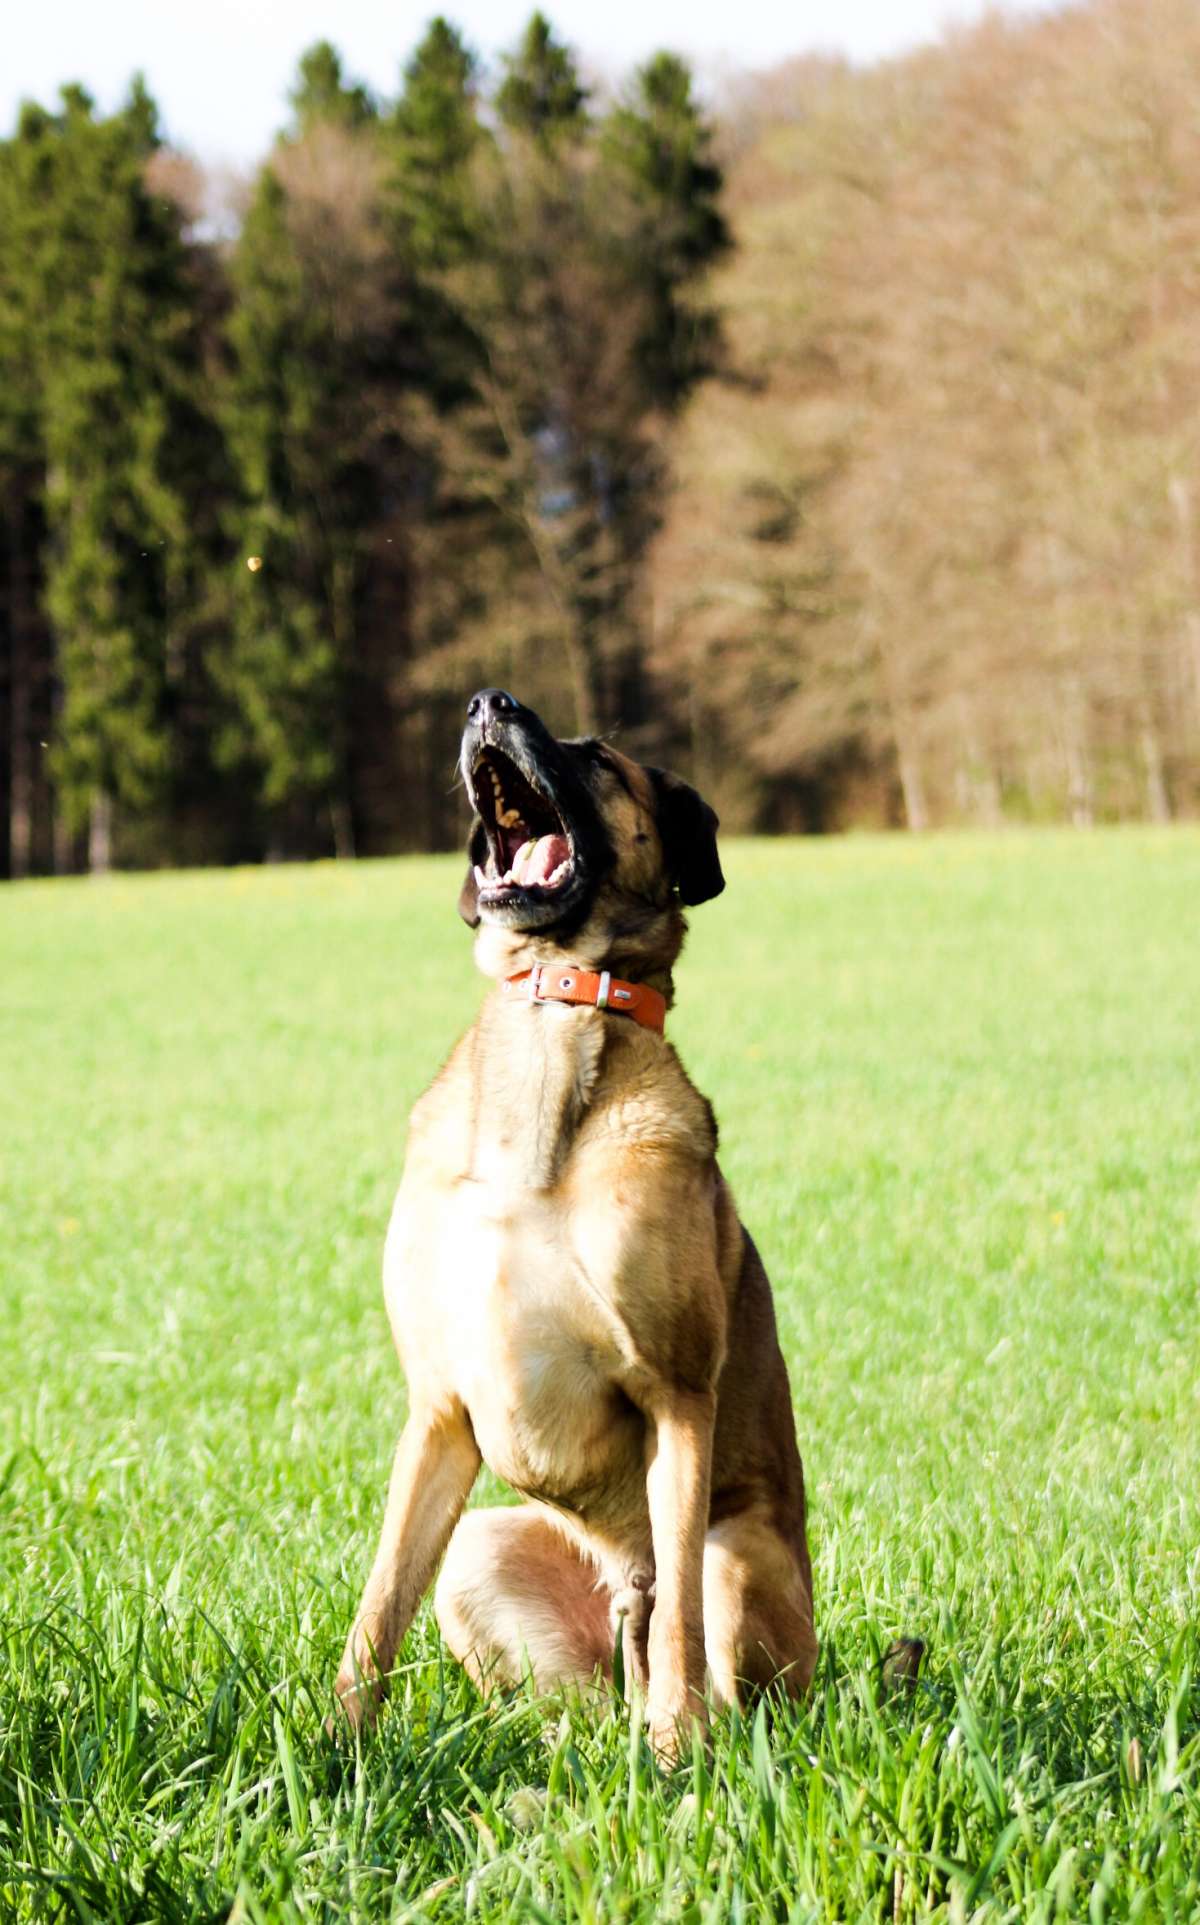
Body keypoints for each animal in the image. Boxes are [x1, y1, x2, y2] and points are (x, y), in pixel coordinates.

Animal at [335, 693, 816, 1763]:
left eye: (598, 757)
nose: (490, 701)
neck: (553, 1016)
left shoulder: (678, 1394)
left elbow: (679, 1621)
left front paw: (682, 1758)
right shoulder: (439, 1409)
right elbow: (377, 1608)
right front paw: (327, 1747)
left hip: (737, 1551)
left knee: (694, 1637)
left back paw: (677, 1739)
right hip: (485, 1547)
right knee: (577, 1700)